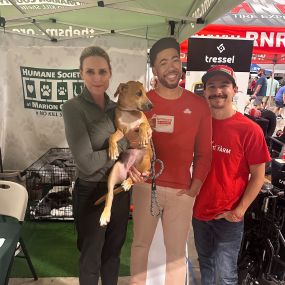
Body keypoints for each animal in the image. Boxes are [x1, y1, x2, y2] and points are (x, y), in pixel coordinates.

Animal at [99, 81, 153, 225]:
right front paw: (113, 150)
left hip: (145, 161)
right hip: (113, 174)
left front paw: (143, 137)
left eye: (145, 93)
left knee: (136, 177)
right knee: (110, 195)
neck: (129, 113)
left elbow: (143, 125)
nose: (152, 105)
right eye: (138, 93)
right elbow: (111, 137)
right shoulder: (121, 131)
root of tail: (127, 171)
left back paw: (128, 182)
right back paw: (105, 215)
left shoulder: (147, 125)